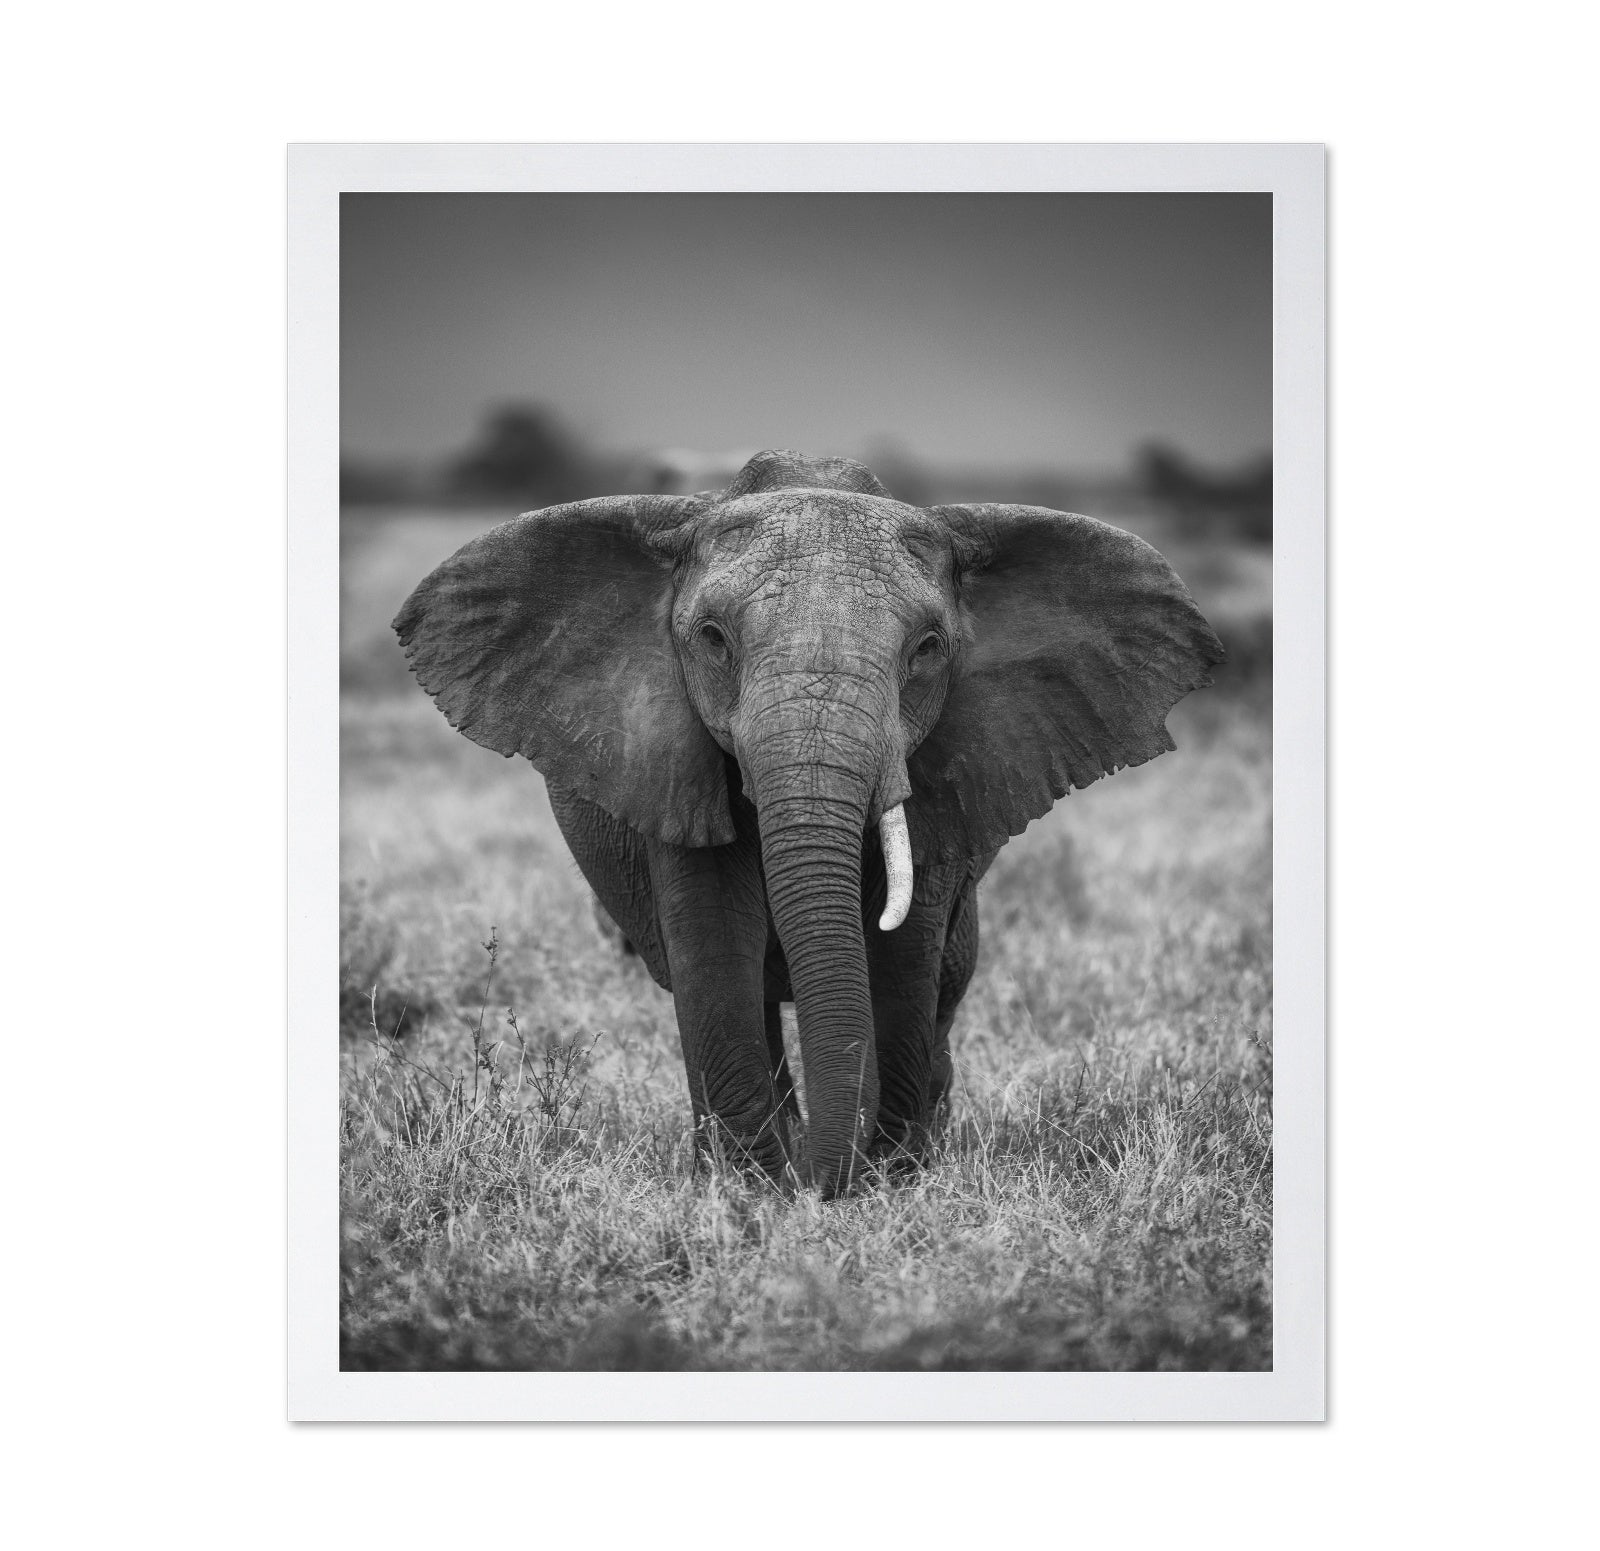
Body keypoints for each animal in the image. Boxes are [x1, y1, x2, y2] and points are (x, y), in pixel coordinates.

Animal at [395, 448, 1224, 1196]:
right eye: (712, 639)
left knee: (949, 980)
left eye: (927, 650)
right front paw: (752, 1187)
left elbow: (905, 953)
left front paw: (887, 1179)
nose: (824, 1183)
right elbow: (714, 942)